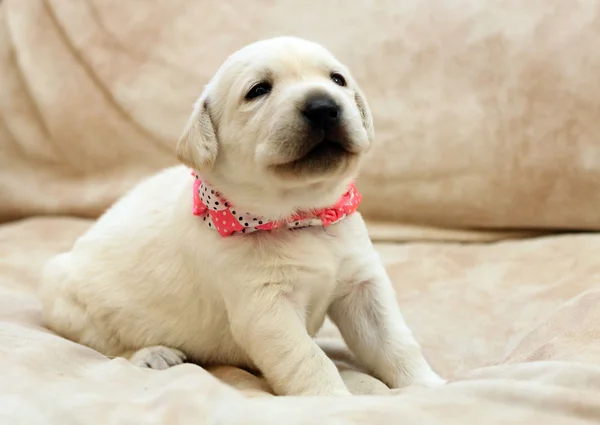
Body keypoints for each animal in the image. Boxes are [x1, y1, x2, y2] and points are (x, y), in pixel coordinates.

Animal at [37, 35, 442, 394]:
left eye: (337, 79)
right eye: (258, 90)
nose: (324, 106)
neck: (299, 215)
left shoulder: (363, 285)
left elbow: (393, 341)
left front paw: (428, 386)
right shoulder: (265, 308)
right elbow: (308, 359)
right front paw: (332, 401)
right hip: (68, 300)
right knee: (107, 345)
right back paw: (152, 354)